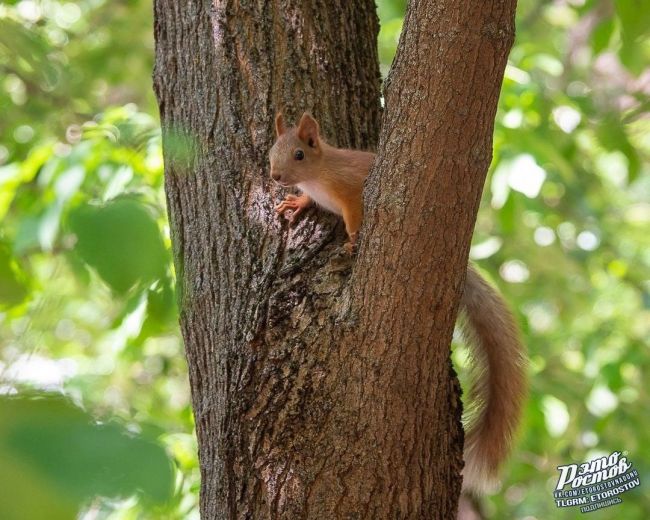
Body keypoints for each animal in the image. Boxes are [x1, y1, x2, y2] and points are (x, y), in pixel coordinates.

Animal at [268, 111, 528, 494]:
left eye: (299, 154)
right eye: (272, 151)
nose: (275, 177)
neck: (318, 175)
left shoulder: (349, 191)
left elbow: (354, 217)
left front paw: (352, 240)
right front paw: (297, 202)